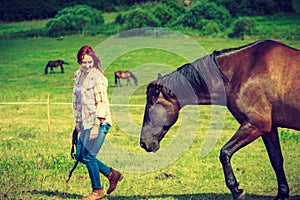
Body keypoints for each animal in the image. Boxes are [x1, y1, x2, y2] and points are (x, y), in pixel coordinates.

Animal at [141, 39, 300, 200]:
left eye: (149, 108)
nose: (143, 143)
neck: (244, 72)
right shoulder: (268, 129)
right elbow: (276, 160)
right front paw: (282, 194)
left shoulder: (255, 125)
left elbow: (225, 153)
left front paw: (236, 190)